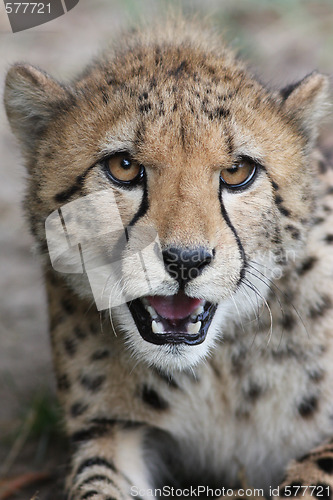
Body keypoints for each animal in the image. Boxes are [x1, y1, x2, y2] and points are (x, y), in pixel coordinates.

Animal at [3, 17, 332, 500]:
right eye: (122, 166)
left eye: (237, 171)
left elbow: (313, 471)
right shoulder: (115, 429)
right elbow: (96, 484)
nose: (185, 260)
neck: (219, 367)